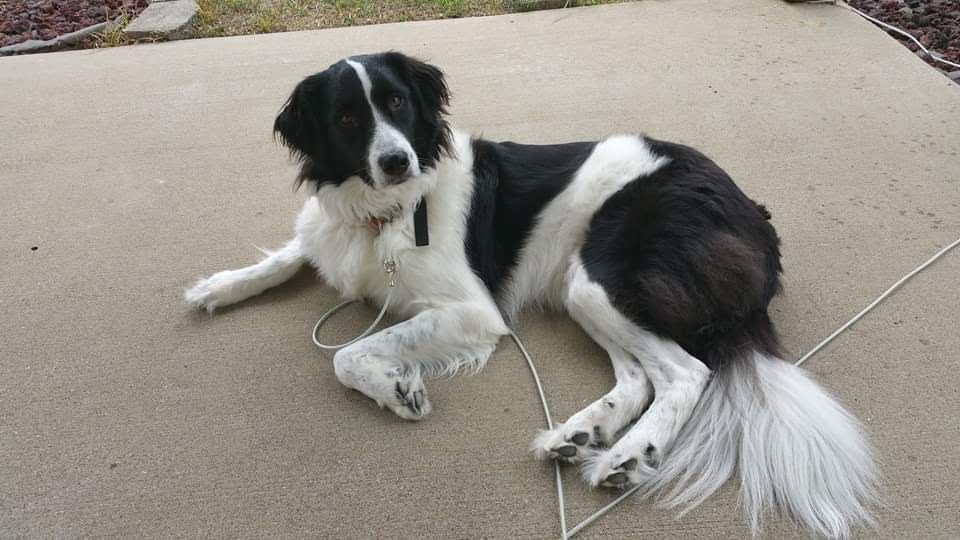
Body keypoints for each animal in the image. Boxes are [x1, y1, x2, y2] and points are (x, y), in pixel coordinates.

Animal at [185, 52, 877, 538]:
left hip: (603, 279)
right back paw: (582, 435)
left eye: (398, 104)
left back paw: (629, 456)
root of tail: (755, 220)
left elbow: (349, 354)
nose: (397, 162)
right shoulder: (331, 235)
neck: (382, 213)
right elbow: (287, 256)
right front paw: (219, 287)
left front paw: (398, 387)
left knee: (685, 372)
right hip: (581, 290)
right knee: (639, 376)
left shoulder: (472, 310)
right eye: (348, 119)